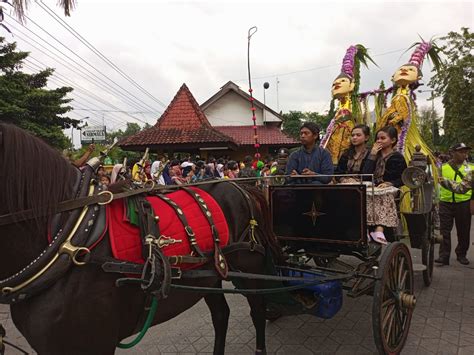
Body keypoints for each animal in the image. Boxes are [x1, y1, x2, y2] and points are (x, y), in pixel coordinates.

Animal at [0, 124, 282, 354]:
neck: (68, 234)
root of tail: (244, 187)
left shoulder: (94, 343)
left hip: (249, 267)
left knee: (257, 309)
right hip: (210, 275)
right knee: (221, 315)